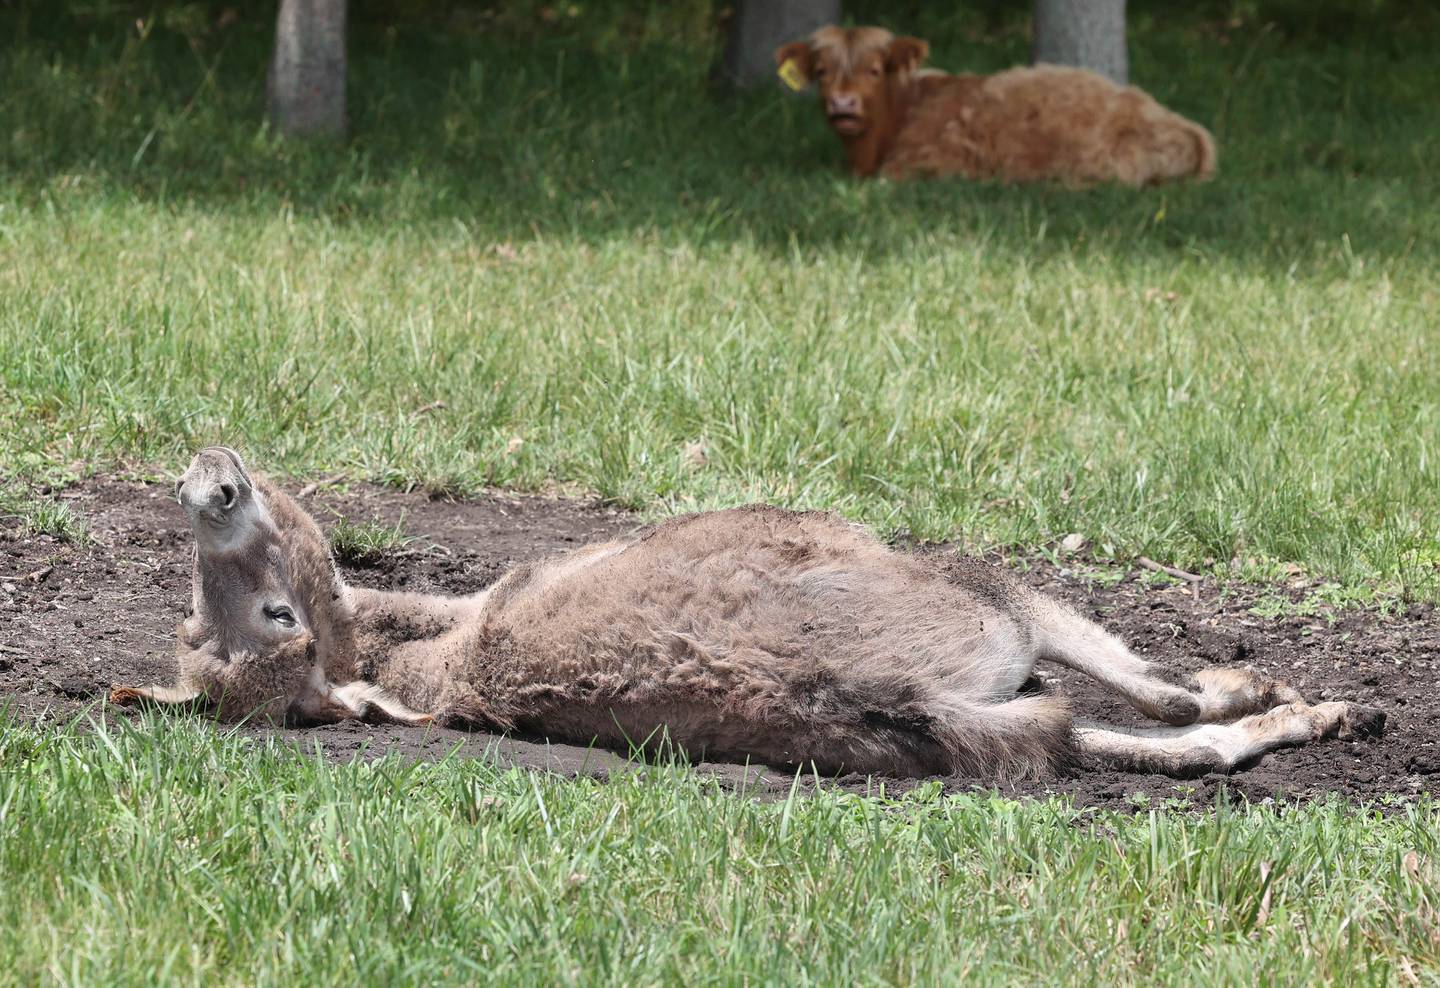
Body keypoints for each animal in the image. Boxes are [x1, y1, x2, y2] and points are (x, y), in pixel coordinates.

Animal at [106, 446, 1376, 783]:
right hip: (973, 600)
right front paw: (1276, 690)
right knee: (1152, 710)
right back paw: (1305, 708)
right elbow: (1149, 677)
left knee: (1128, 736)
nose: (209, 482)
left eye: (259, 617)